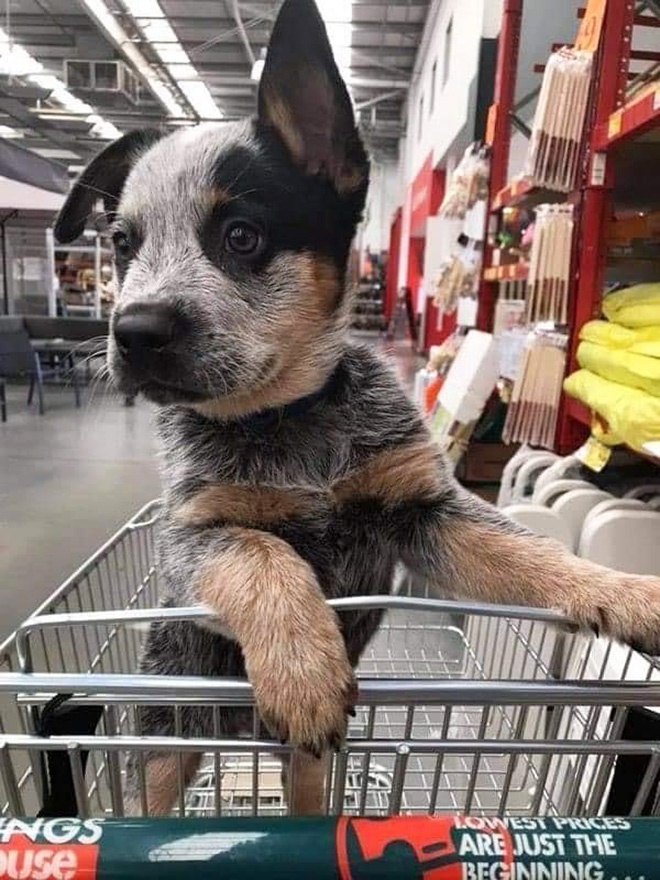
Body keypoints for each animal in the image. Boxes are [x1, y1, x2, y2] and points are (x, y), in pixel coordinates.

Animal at [54, 0, 660, 816]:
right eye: (123, 244)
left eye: (241, 236)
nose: (133, 332)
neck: (289, 421)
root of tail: (238, 737)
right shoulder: (190, 533)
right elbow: (262, 550)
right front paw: (304, 664)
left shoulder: (425, 510)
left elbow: (531, 552)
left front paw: (623, 591)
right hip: (164, 735)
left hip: (309, 770)